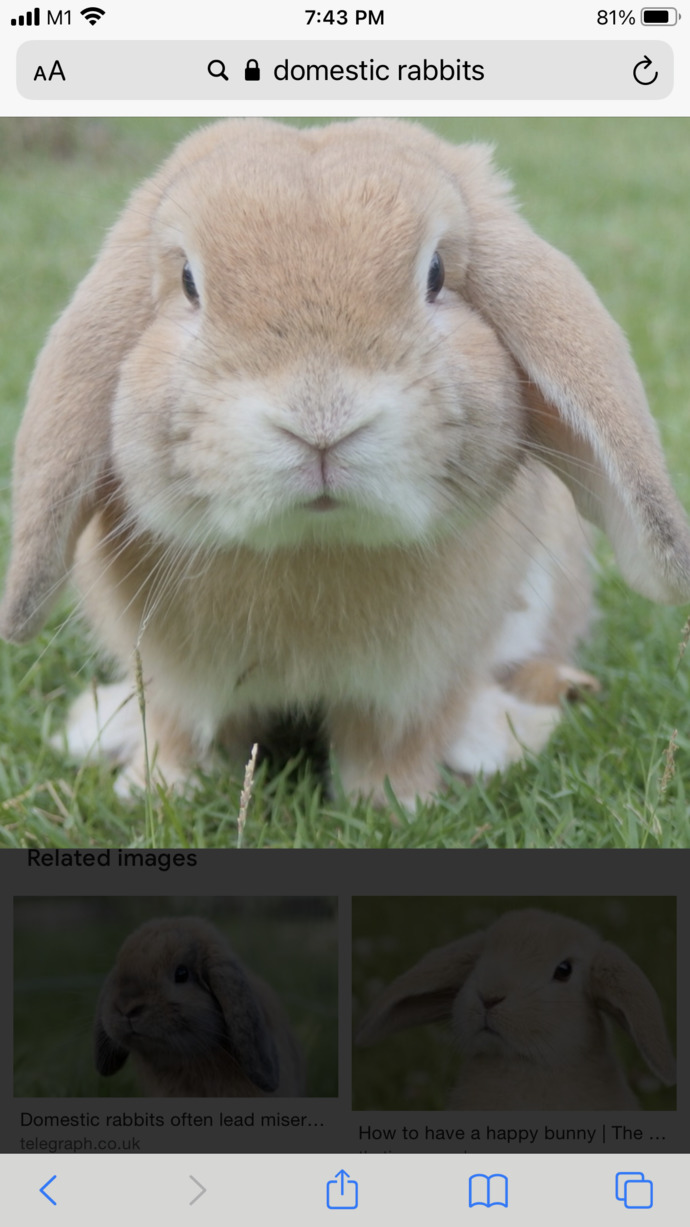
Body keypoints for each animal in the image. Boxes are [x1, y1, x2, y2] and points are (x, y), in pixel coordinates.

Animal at [2, 118, 690, 809]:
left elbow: (389, 742)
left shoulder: (413, 685)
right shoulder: (174, 681)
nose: (321, 420)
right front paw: (157, 792)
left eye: (436, 273)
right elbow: (180, 731)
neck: (313, 544)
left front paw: (395, 805)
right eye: (190, 282)